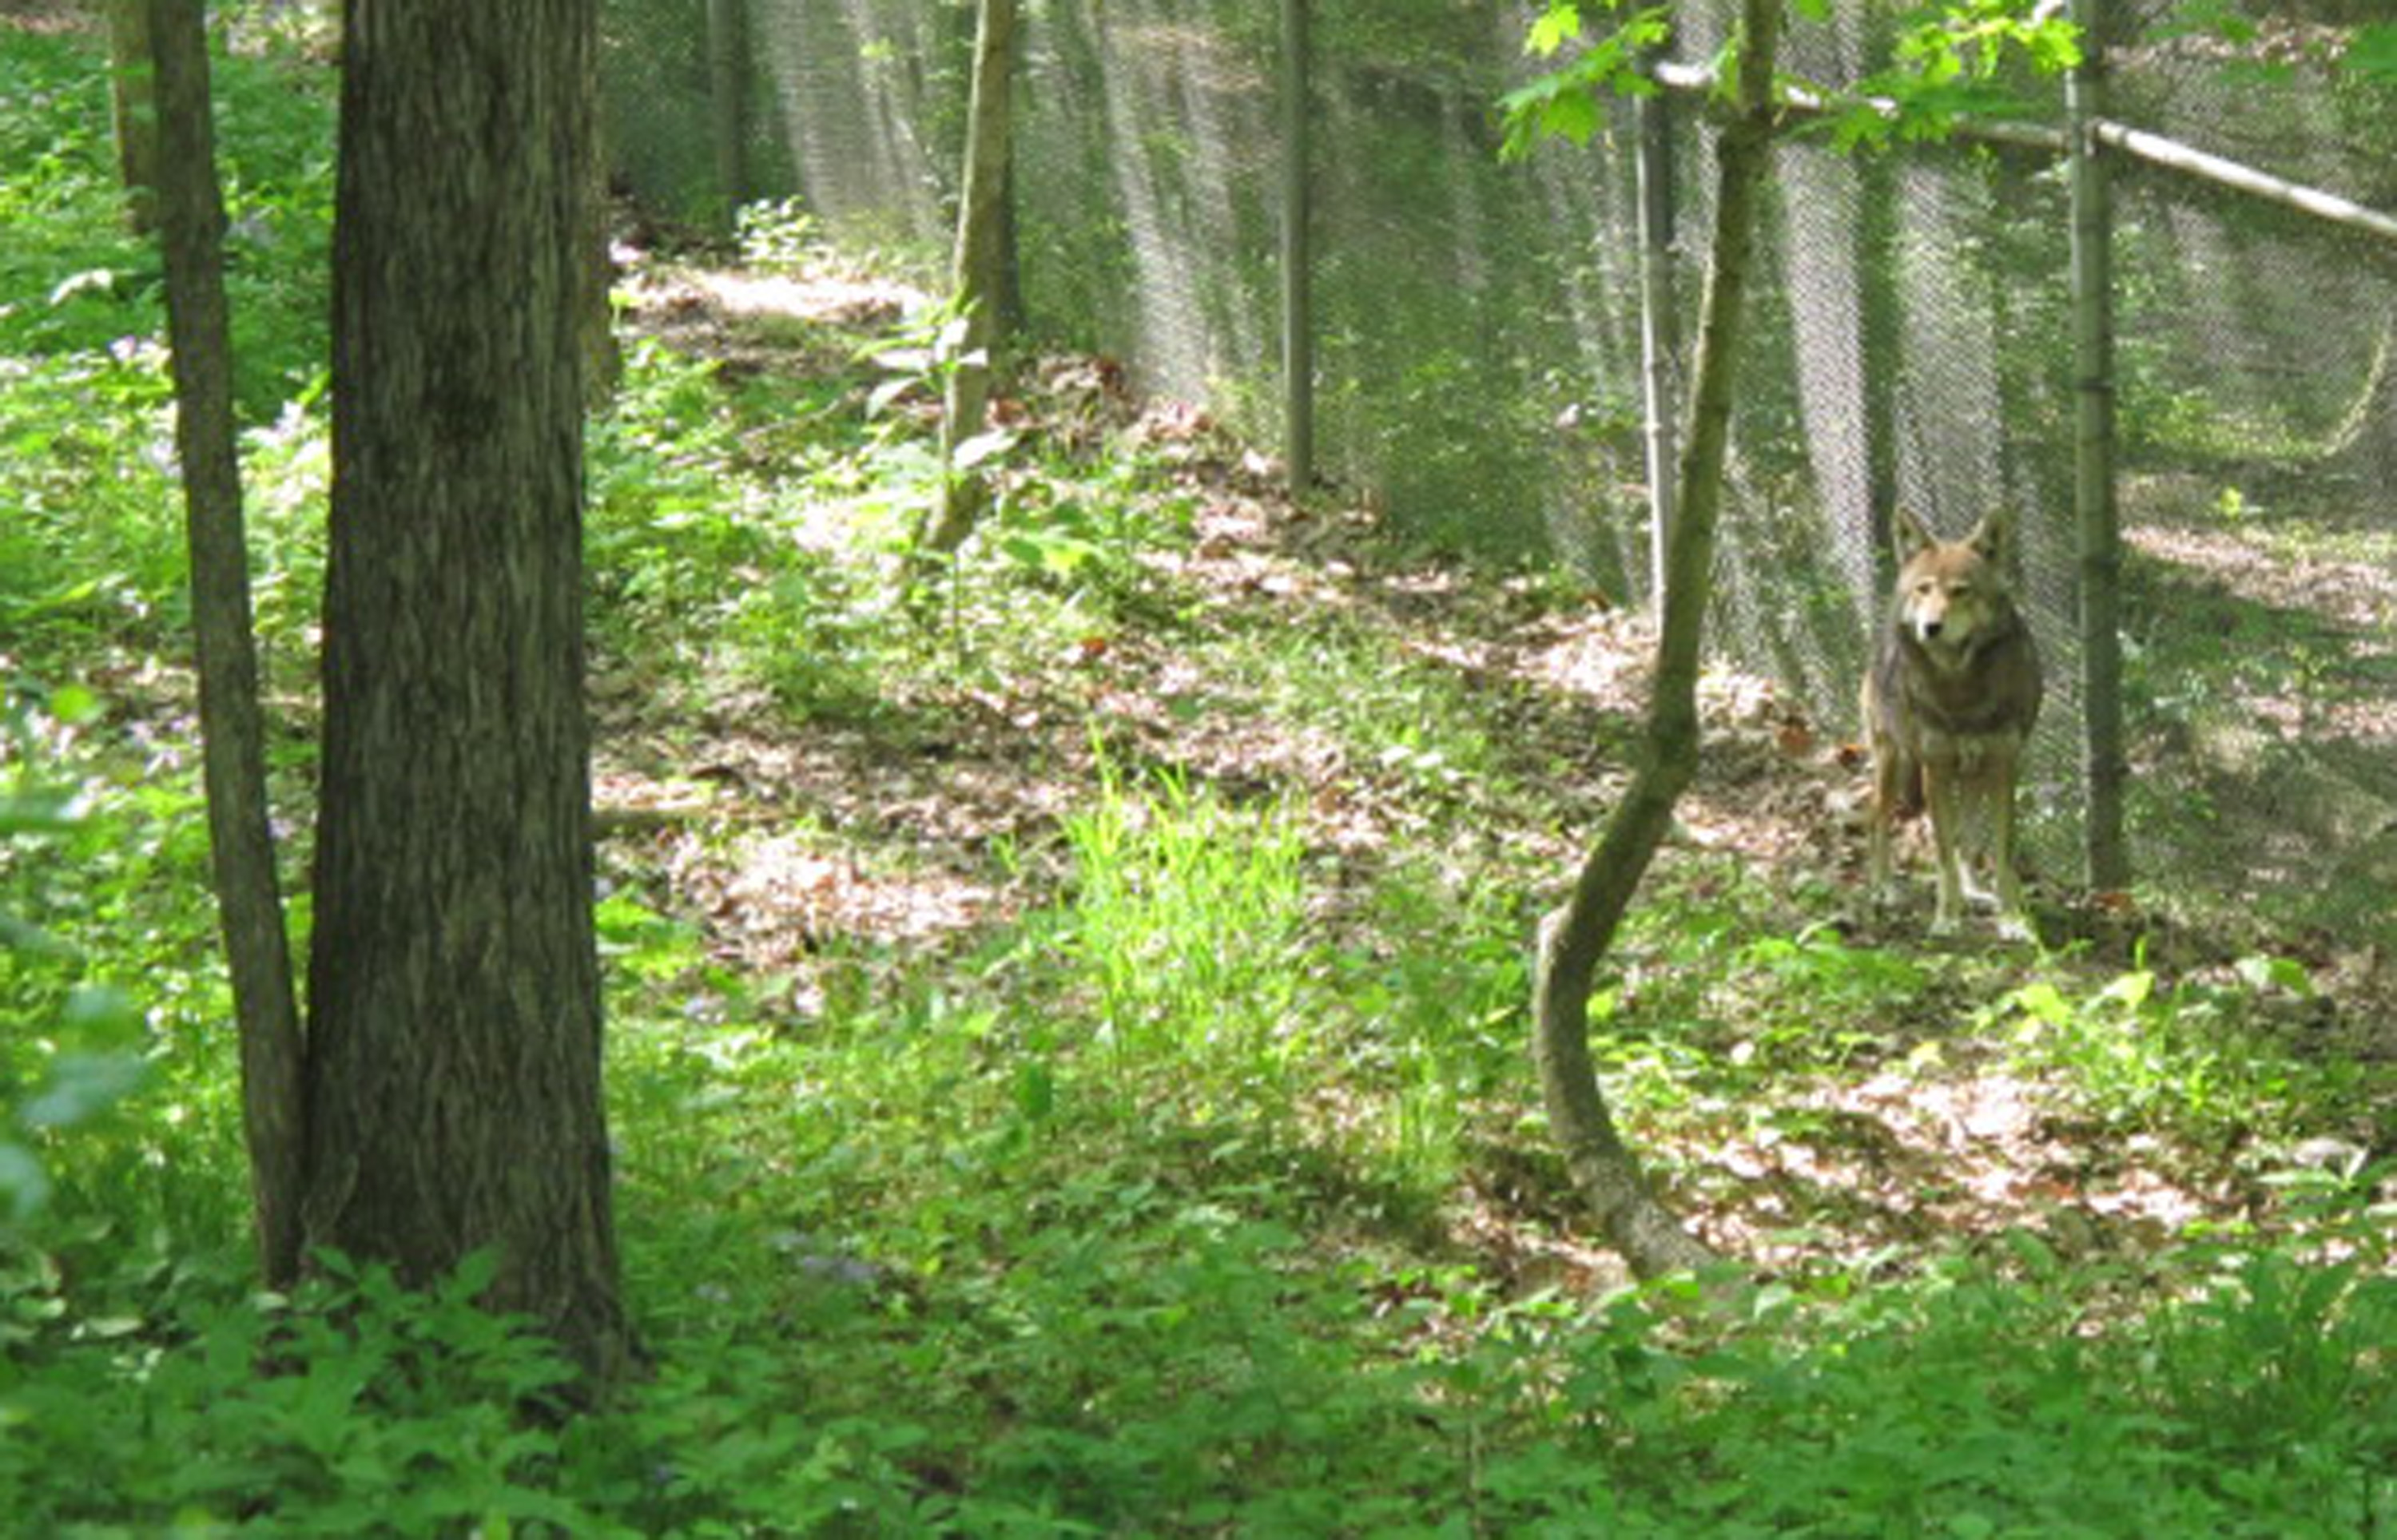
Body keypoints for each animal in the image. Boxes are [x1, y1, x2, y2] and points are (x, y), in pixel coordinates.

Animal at [1861, 508, 2043, 937]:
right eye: (1924, 589)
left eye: (1961, 591)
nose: (1931, 627)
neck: (1960, 692)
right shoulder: (1936, 769)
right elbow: (1943, 855)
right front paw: (1946, 918)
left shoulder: (2003, 767)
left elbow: (2001, 853)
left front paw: (2012, 920)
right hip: (1892, 762)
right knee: (1877, 822)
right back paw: (1883, 889)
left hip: (1973, 776)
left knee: (1971, 839)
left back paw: (1975, 892)